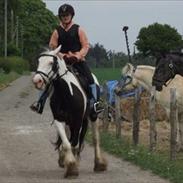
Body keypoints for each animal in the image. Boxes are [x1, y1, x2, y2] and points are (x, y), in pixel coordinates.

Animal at [31, 46, 107, 179]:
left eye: (51, 63)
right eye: (39, 62)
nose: (37, 81)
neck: (65, 93)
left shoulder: (77, 120)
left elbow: (75, 144)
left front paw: (73, 168)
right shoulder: (59, 119)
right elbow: (66, 143)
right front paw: (70, 164)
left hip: (92, 116)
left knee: (95, 139)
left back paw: (99, 164)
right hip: (69, 121)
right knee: (67, 137)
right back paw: (63, 159)